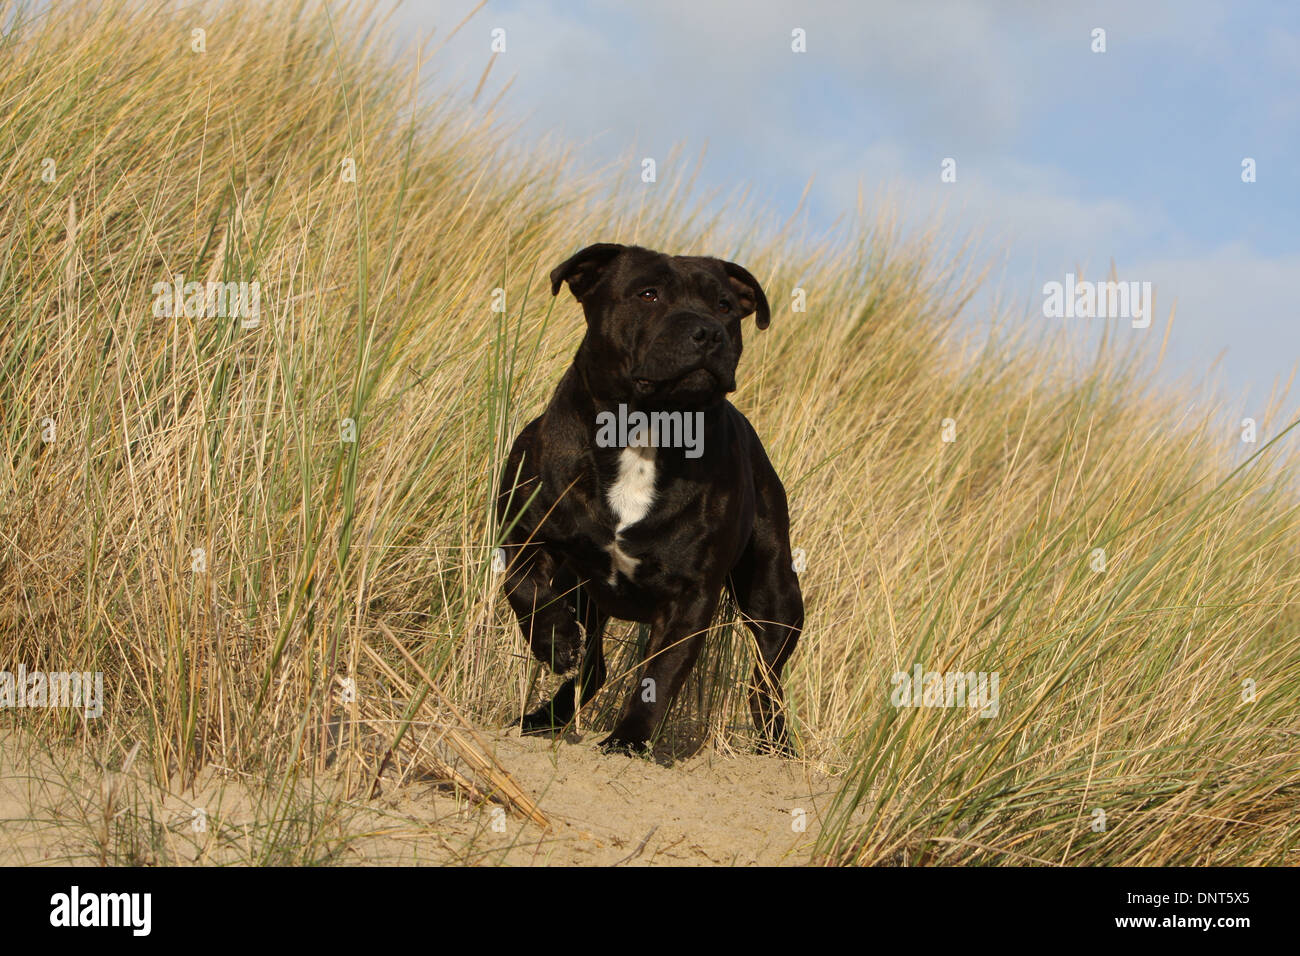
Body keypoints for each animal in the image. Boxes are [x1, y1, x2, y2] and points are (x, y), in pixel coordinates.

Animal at [493, 240, 800, 754]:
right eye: (648, 294)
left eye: (725, 306)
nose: (709, 332)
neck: (645, 432)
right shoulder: (524, 533)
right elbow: (524, 588)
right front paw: (555, 643)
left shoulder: (690, 597)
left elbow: (660, 676)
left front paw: (628, 741)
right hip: (585, 593)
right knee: (593, 666)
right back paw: (545, 716)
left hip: (774, 595)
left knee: (766, 681)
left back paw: (774, 746)